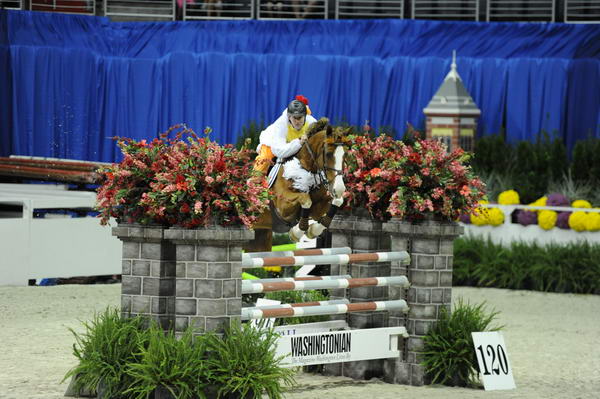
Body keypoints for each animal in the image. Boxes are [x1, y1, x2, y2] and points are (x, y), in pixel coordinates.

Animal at [244, 117, 346, 253]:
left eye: (345, 155)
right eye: (328, 154)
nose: (339, 189)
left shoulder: (319, 207)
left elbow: (337, 201)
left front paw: (313, 230)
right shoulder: (283, 206)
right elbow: (305, 199)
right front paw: (296, 232)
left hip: (260, 237)